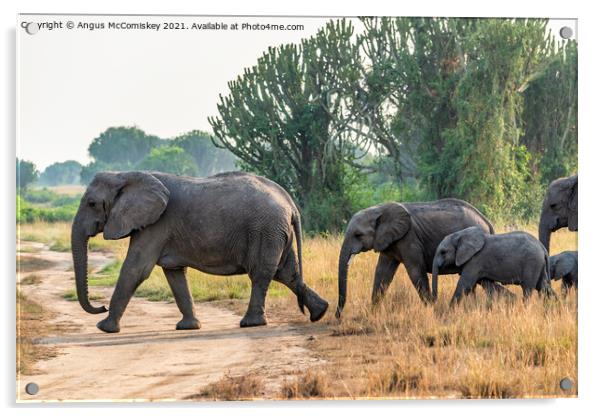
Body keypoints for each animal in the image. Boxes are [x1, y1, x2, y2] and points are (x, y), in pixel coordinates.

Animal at [70, 171, 328, 334]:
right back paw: (320, 313)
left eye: (92, 203)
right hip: (275, 231)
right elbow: (174, 274)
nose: (100, 306)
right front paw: (188, 327)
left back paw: (250, 324)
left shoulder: (157, 224)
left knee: (262, 273)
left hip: (265, 230)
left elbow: (136, 269)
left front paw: (104, 328)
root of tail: (290, 203)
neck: (126, 175)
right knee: (287, 272)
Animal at [332, 198, 510, 316]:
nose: (338, 316)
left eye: (358, 235)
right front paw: (372, 313)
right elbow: (383, 272)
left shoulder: (409, 238)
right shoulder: (388, 241)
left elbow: (415, 271)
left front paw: (431, 309)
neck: (379, 209)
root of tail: (487, 222)